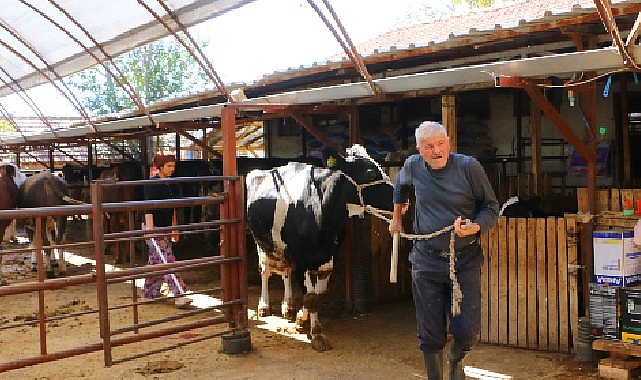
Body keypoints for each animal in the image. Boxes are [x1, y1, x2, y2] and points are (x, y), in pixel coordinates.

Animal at [245, 144, 392, 352]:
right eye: (370, 172)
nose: (401, 199)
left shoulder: (328, 259)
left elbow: (317, 296)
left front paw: (302, 318)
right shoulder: (299, 259)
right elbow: (310, 297)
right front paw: (316, 335)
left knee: (285, 272)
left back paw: (288, 306)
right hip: (261, 242)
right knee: (265, 270)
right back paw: (264, 306)